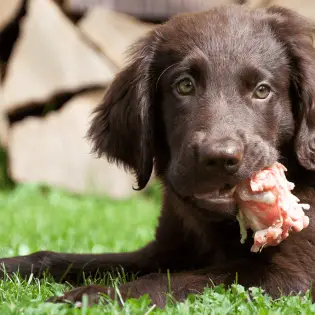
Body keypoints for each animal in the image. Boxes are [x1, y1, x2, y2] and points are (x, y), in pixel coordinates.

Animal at [0, 4, 315, 308]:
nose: (219, 158)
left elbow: (166, 281)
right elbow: (71, 259)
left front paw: (87, 296)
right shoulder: (160, 250)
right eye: (184, 85)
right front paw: (11, 265)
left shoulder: (289, 273)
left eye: (262, 90)